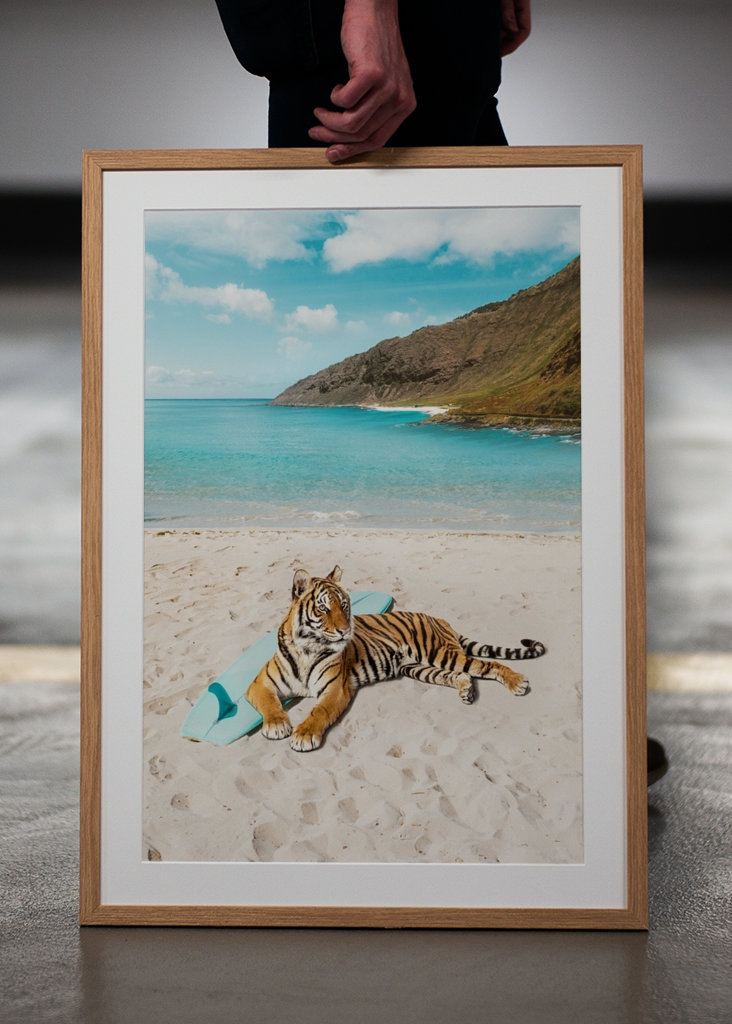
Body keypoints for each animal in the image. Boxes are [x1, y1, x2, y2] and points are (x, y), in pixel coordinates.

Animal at [246, 566, 546, 752]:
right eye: (323, 608)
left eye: (344, 605)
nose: (345, 630)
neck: (307, 648)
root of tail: (440, 619)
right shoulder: (260, 684)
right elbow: (270, 703)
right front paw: (277, 725)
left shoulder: (335, 689)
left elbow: (318, 711)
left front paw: (304, 735)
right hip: (419, 668)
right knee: (461, 675)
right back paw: (466, 692)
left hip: (441, 654)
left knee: (488, 665)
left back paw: (517, 683)